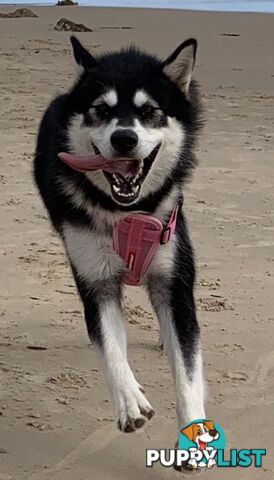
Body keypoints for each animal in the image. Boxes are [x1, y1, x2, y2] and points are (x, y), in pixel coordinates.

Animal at [33, 36, 206, 438]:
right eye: (100, 110)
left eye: (150, 111)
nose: (124, 138)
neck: (128, 214)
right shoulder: (96, 282)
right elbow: (112, 349)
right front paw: (129, 401)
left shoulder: (174, 282)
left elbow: (187, 371)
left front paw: (194, 430)